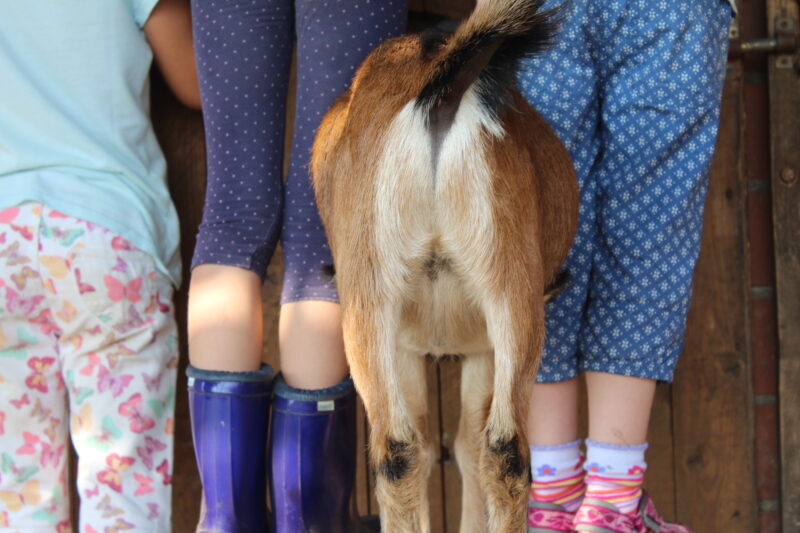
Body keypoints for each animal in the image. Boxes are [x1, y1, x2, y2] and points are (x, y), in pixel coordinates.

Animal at [310, 2, 580, 528]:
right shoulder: (468, 347)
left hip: (380, 298)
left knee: (412, 451)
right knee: (491, 451)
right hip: (504, 292)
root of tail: (440, 87)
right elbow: (457, 443)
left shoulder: (423, 345)